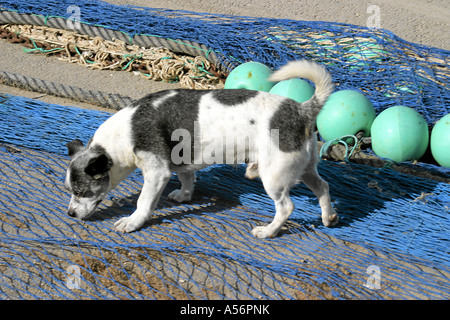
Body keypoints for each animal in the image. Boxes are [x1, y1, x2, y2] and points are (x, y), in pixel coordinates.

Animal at [63, 60, 338, 238]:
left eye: (81, 191)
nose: (70, 214)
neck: (125, 132)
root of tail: (302, 109)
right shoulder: (181, 161)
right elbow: (187, 177)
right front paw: (184, 195)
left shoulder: (156, 173)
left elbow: (144, 202)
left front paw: (132, 222)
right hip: (303, 168)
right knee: (323, 186)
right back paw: (329, 217)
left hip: (274, 176)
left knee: (286, 207)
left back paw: (269, 231)